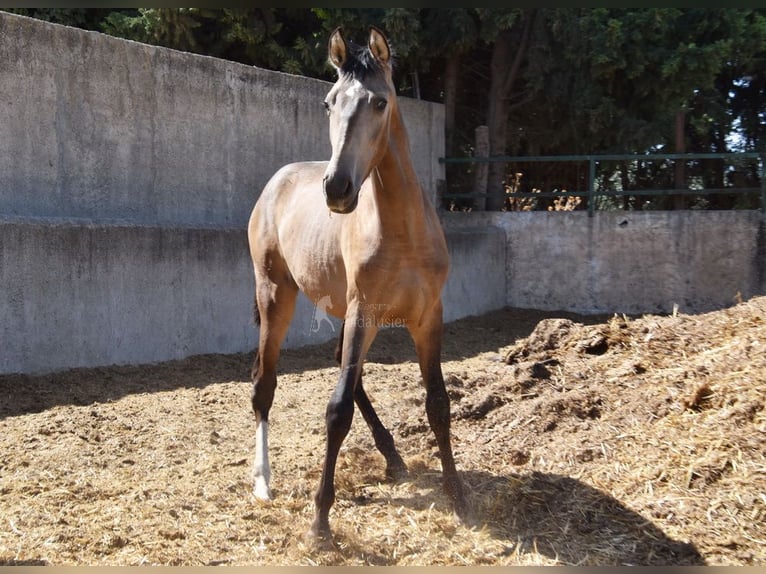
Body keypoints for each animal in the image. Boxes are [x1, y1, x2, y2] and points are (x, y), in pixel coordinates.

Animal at [249, 25, 472, 548]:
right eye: (330, 102)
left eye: (379, 102)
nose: (337, 189)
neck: (402, 231)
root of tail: (277, 181)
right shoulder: (363, 312)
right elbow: (336, 410)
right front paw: (320, 522)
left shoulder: (427, 318)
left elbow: (438, 403)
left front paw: (457, 495)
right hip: (277, 297)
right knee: (264, 386)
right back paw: (263, 481)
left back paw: (392, 456)